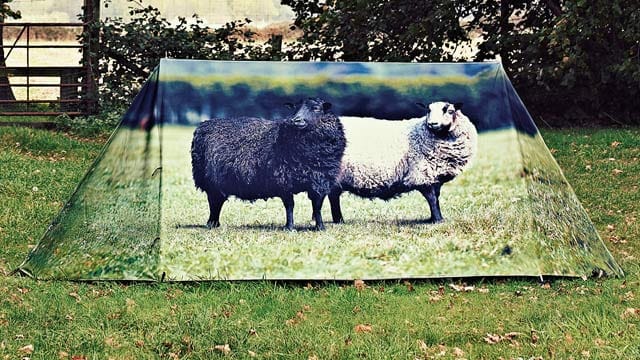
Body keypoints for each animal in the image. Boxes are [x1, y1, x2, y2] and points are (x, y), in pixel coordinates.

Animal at [190, 96, 344, 231]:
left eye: (316, 108)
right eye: (294, 108)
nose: (296, 120)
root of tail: (204, 125)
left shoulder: (320, 181)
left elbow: (317, 206)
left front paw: (320, 227)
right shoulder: (284, 180)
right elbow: (290, 206)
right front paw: (289, 227)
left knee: (217, 201)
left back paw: (214, 223)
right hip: (210, 180)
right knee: (214, 202)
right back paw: (212, 224)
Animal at [332, 101, 478, 224]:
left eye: (450, 111)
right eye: (428, 110)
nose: (432, 123)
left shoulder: (435, 176)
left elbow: (436, 197)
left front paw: (435, 218)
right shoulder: (422, 174)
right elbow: (431, 198)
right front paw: (437, 220)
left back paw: (339, 221)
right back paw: (338, 221)